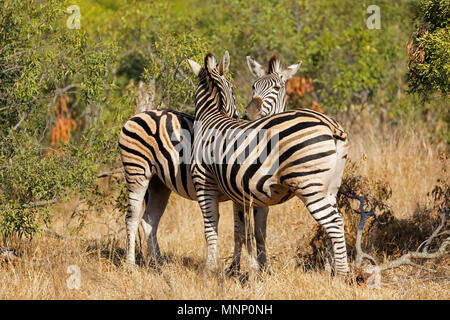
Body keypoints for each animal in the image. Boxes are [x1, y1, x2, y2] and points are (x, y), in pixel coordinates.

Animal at [118, 53, 298, 272]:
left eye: (277, 88)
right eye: (253, 87)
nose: (248, 115)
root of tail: (143, 113)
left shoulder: (257, 197)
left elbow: (258, 232)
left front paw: (260, 268)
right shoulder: (237, 194)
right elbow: (242, 231)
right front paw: (239, 268)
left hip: (159, 184)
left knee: (149, 220)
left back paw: (159, 265)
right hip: (137, 171)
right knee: (132, 218)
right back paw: (130, 266)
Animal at [188, 52, 350, 276]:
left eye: (276, 88)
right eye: (252, 87)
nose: (244, 115)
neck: (211, 116)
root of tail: (330, 124)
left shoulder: (204, 183)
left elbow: (211, 228)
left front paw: (211, 270)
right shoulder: (245, 194)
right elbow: (249, 231)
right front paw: (251, 269)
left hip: (309, 186)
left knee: (335, 223)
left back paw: (342, 274)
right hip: (330, 187)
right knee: (330, 225)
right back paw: (330, 270)